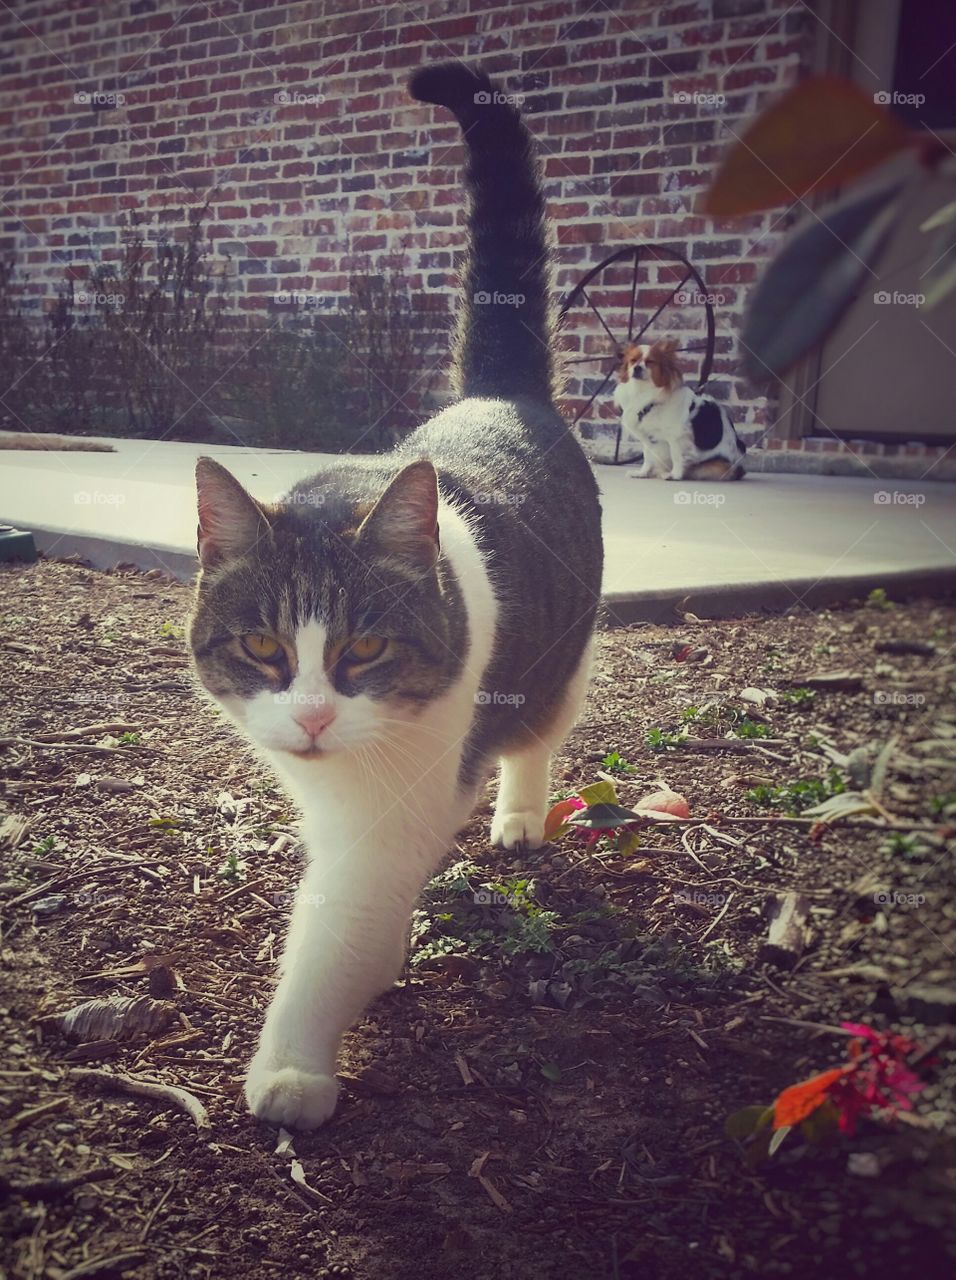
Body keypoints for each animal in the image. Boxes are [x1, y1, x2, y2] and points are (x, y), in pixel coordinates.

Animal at [186, 64, 601, 1131]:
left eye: (364, 652)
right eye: (262, 649)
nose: (313, 717)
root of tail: (502, 391)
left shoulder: (386, 816)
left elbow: (337, 933)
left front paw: (293, 1068)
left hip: (562, 665)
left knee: (536, 737)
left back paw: (519, 814)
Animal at [614, 337, 747, 481]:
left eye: (650, 362)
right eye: (632, 361)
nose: (637, 368)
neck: (644, 391)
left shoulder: (677, 436)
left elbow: (676, 456)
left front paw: (675, 475)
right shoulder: (648, 438)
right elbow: (648, 456)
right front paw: (642, 473)